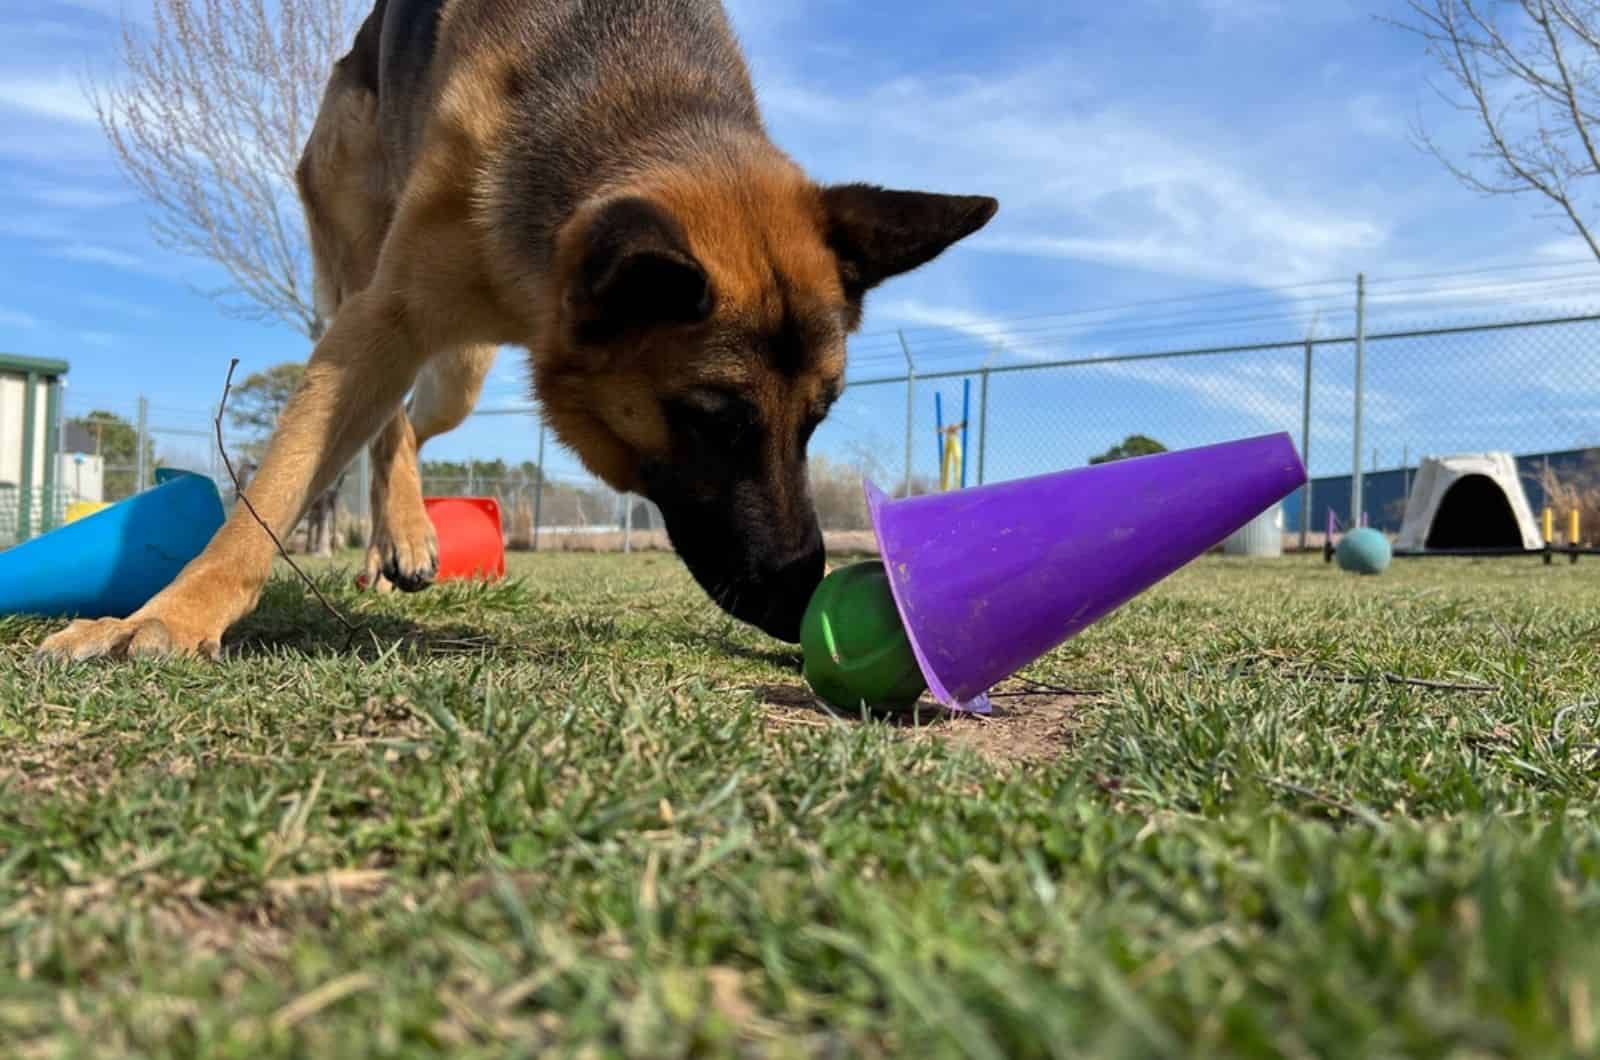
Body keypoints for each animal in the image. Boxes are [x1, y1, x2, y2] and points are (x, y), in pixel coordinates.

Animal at [37, 0, 992, 659]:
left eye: (818, 420)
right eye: (712, 417)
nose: (800, 601)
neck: (640, 98)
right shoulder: (382, 318)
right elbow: (271, 493)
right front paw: (168, 614)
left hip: (461, 369)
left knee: (405, 423)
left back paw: (402, 533)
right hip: (375, 292)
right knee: (380, 418)